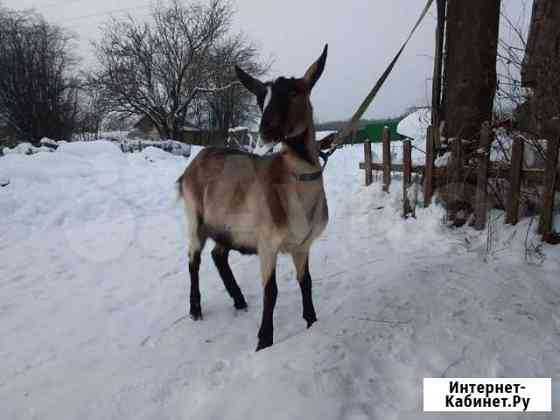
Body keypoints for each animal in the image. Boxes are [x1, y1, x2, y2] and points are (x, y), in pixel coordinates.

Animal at [178, 45, 328, 352]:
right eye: (261, 98)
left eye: (294, 92)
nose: (265, 130)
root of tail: (195, 161)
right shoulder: (267, 242)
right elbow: (272, 291)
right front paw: (264, 341)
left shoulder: (302, 245)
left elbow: (306, 282)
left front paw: (311, 322)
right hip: (194, 216)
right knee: (193, 258)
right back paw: (196, 309)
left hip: (227, 224)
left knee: (218, 254)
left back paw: (239, 300)